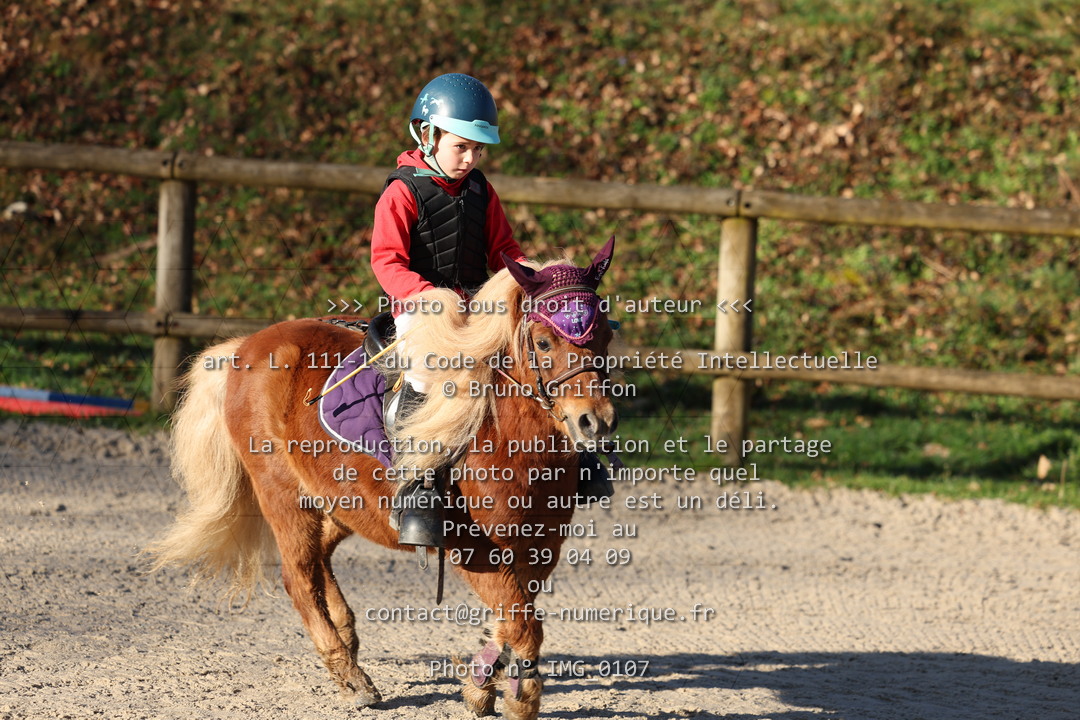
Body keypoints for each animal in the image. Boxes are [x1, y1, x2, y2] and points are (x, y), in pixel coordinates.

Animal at [147, 239, 619, 720]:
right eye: (543, 342)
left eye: (604, 336)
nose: (595, 421)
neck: (507, 436)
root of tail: (248, 343)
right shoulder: (477, 551)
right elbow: (524, 625)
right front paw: (520, 699)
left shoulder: (539, 548)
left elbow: (510, 620)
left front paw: (481, 685)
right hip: (282, 492)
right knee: (299, 578)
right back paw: (350, 676)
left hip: (344, 502)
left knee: (320, 557)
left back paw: (346, 633)